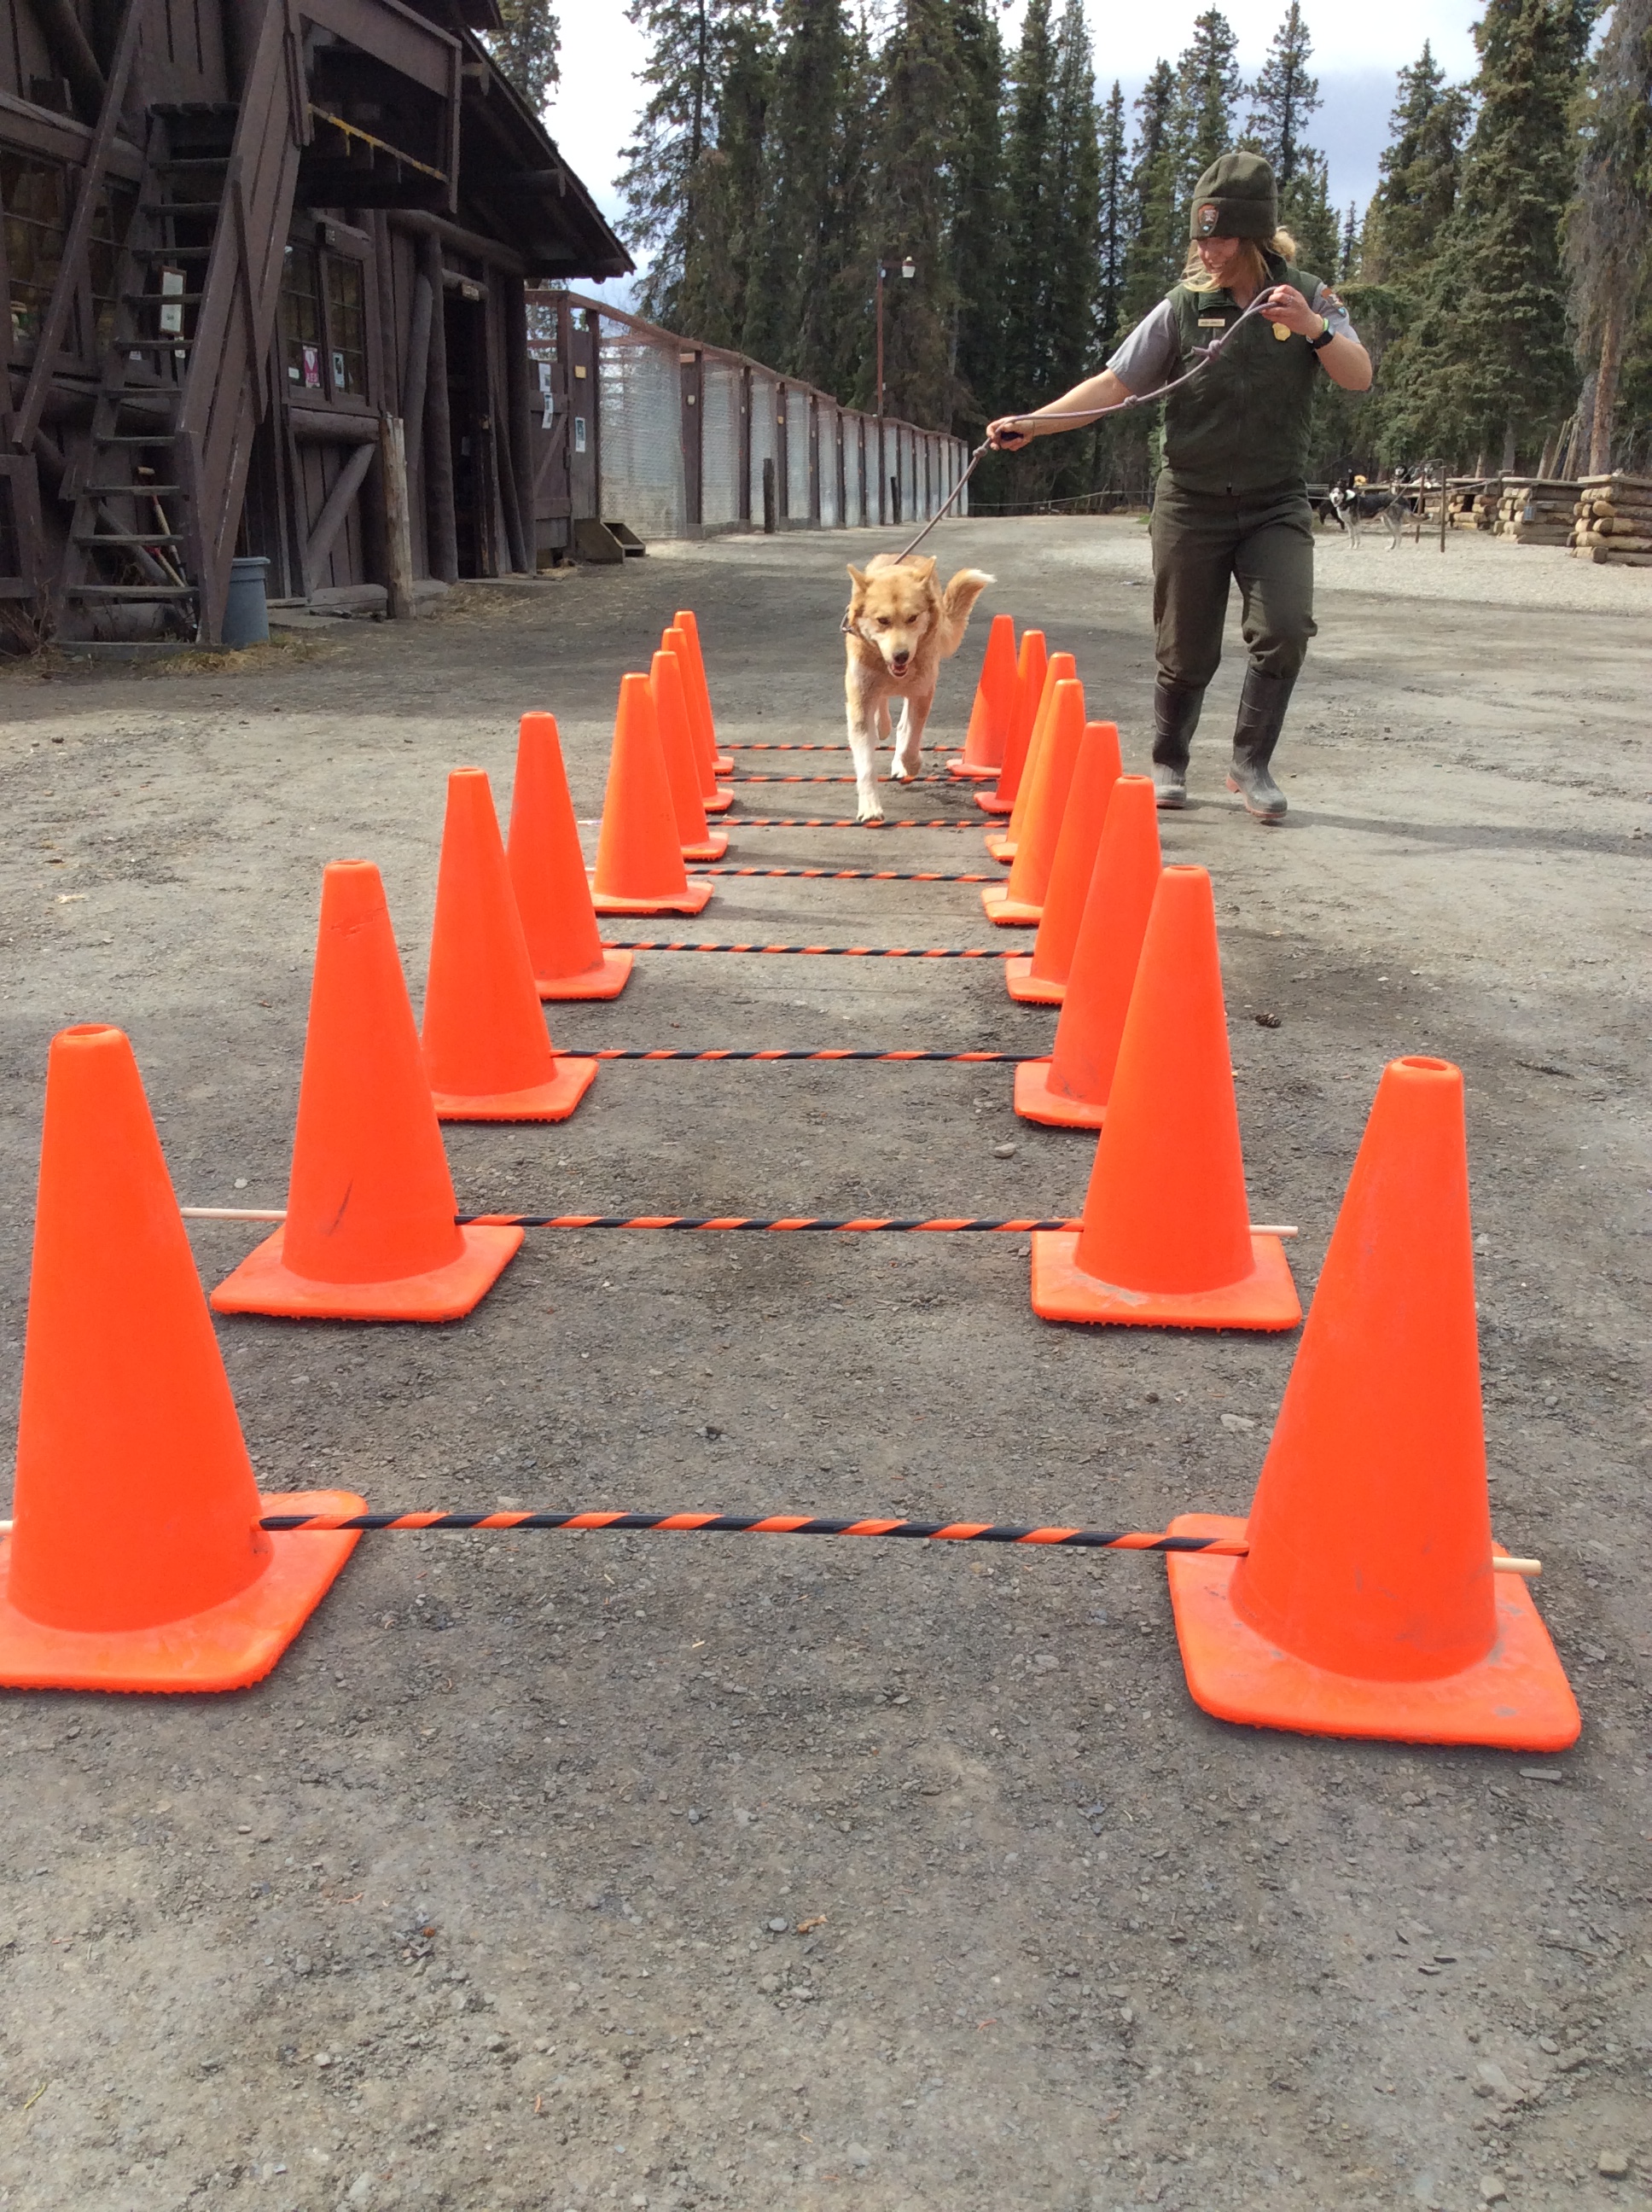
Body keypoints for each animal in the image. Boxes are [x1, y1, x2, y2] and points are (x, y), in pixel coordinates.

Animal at [845, 557, 991, 827]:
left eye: (912, 617)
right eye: (882, 620)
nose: (900, 655)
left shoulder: (922, 693)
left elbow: (911, 739)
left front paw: (910, 764)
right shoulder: (860, 699)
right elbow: (866, 764)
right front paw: (870, 807)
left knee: (904, 727)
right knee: (882, 707)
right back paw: (882, 724)